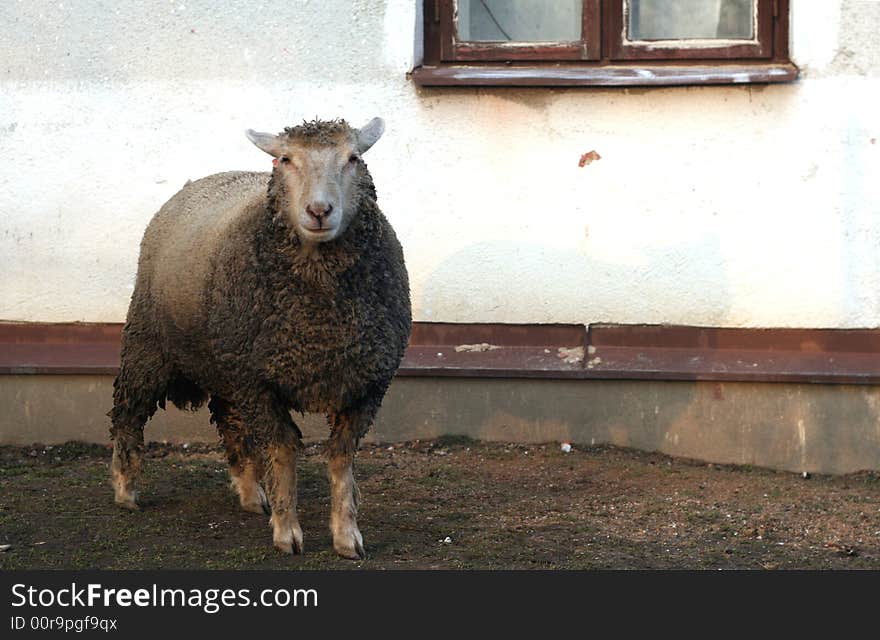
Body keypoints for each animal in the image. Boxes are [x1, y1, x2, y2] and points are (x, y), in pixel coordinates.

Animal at [108, 117, 410, 556]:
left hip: (226, 362)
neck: (319, 318)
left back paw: (250, 493)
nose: (319, 211)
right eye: (285, 160)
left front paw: (346, 535)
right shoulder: (259, 382)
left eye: (353, 158)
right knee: (128, 412)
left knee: (229, 421)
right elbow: (281, 451)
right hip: (148, 344)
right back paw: (125, 489)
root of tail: (196, 182)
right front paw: (287, 532)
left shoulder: (365, 384)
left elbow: (341, 458)